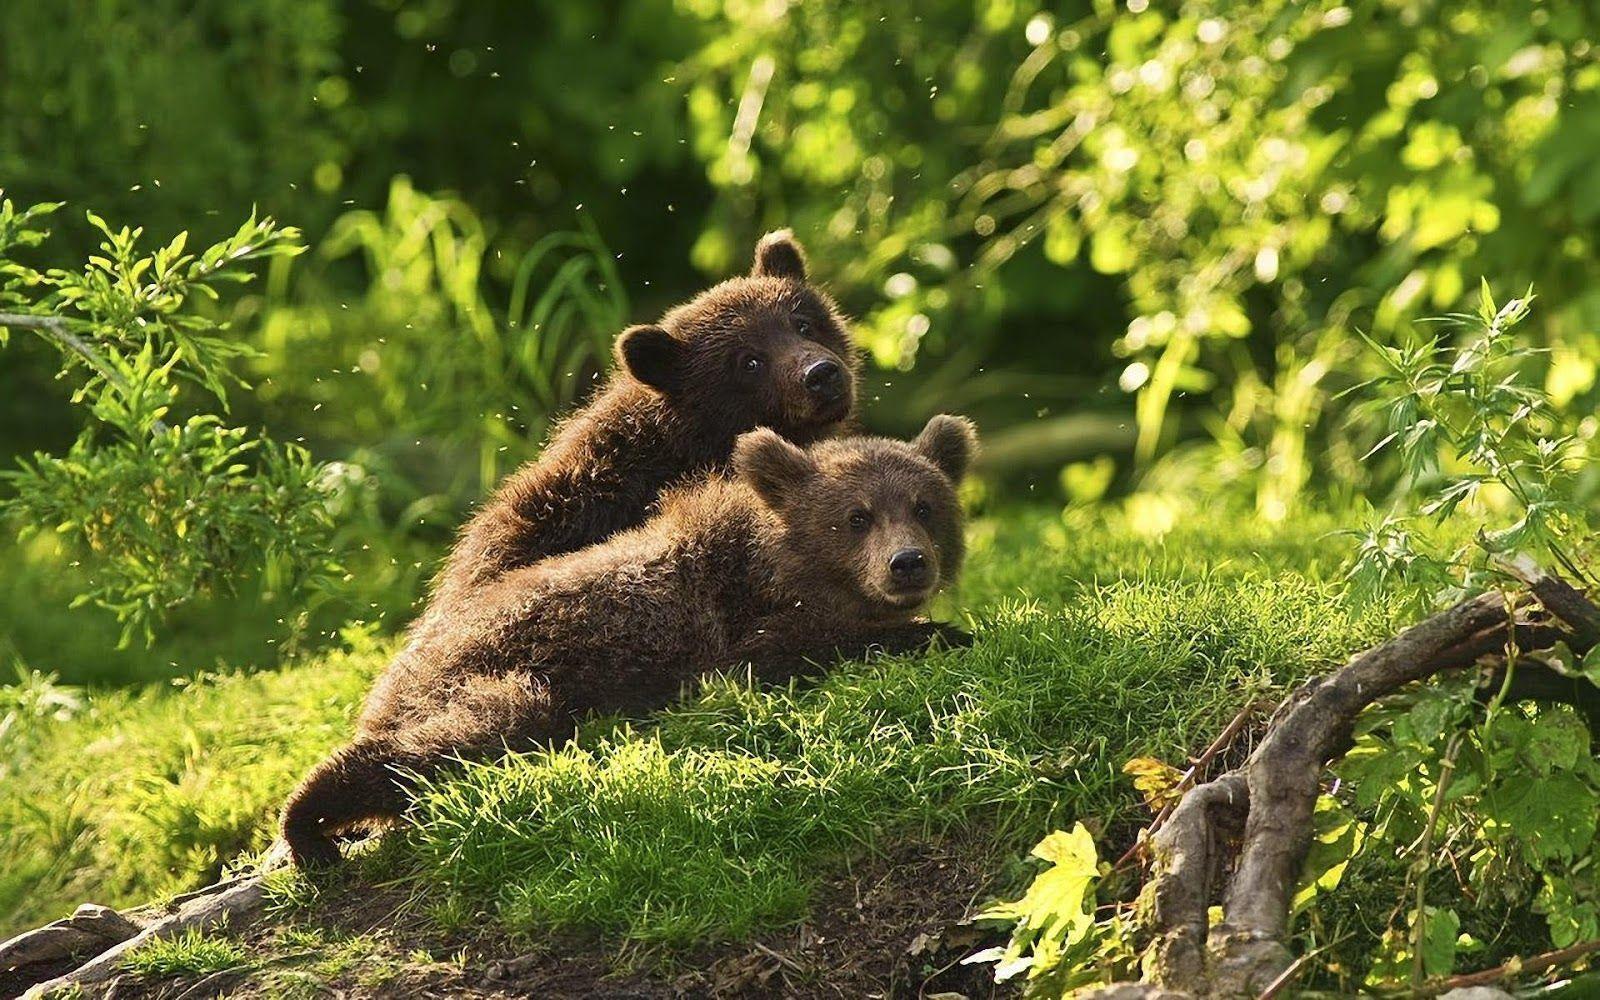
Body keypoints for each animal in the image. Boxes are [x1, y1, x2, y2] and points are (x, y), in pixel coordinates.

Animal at [280, 415, 979, 868]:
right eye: (857, 517)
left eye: (925, 505)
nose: (908, 564)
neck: (776, 566)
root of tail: (391, 677)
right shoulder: (731, 631)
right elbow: (790, 651)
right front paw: (943, 632)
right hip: (494, 673)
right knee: (462, 735)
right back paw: (309, 823)